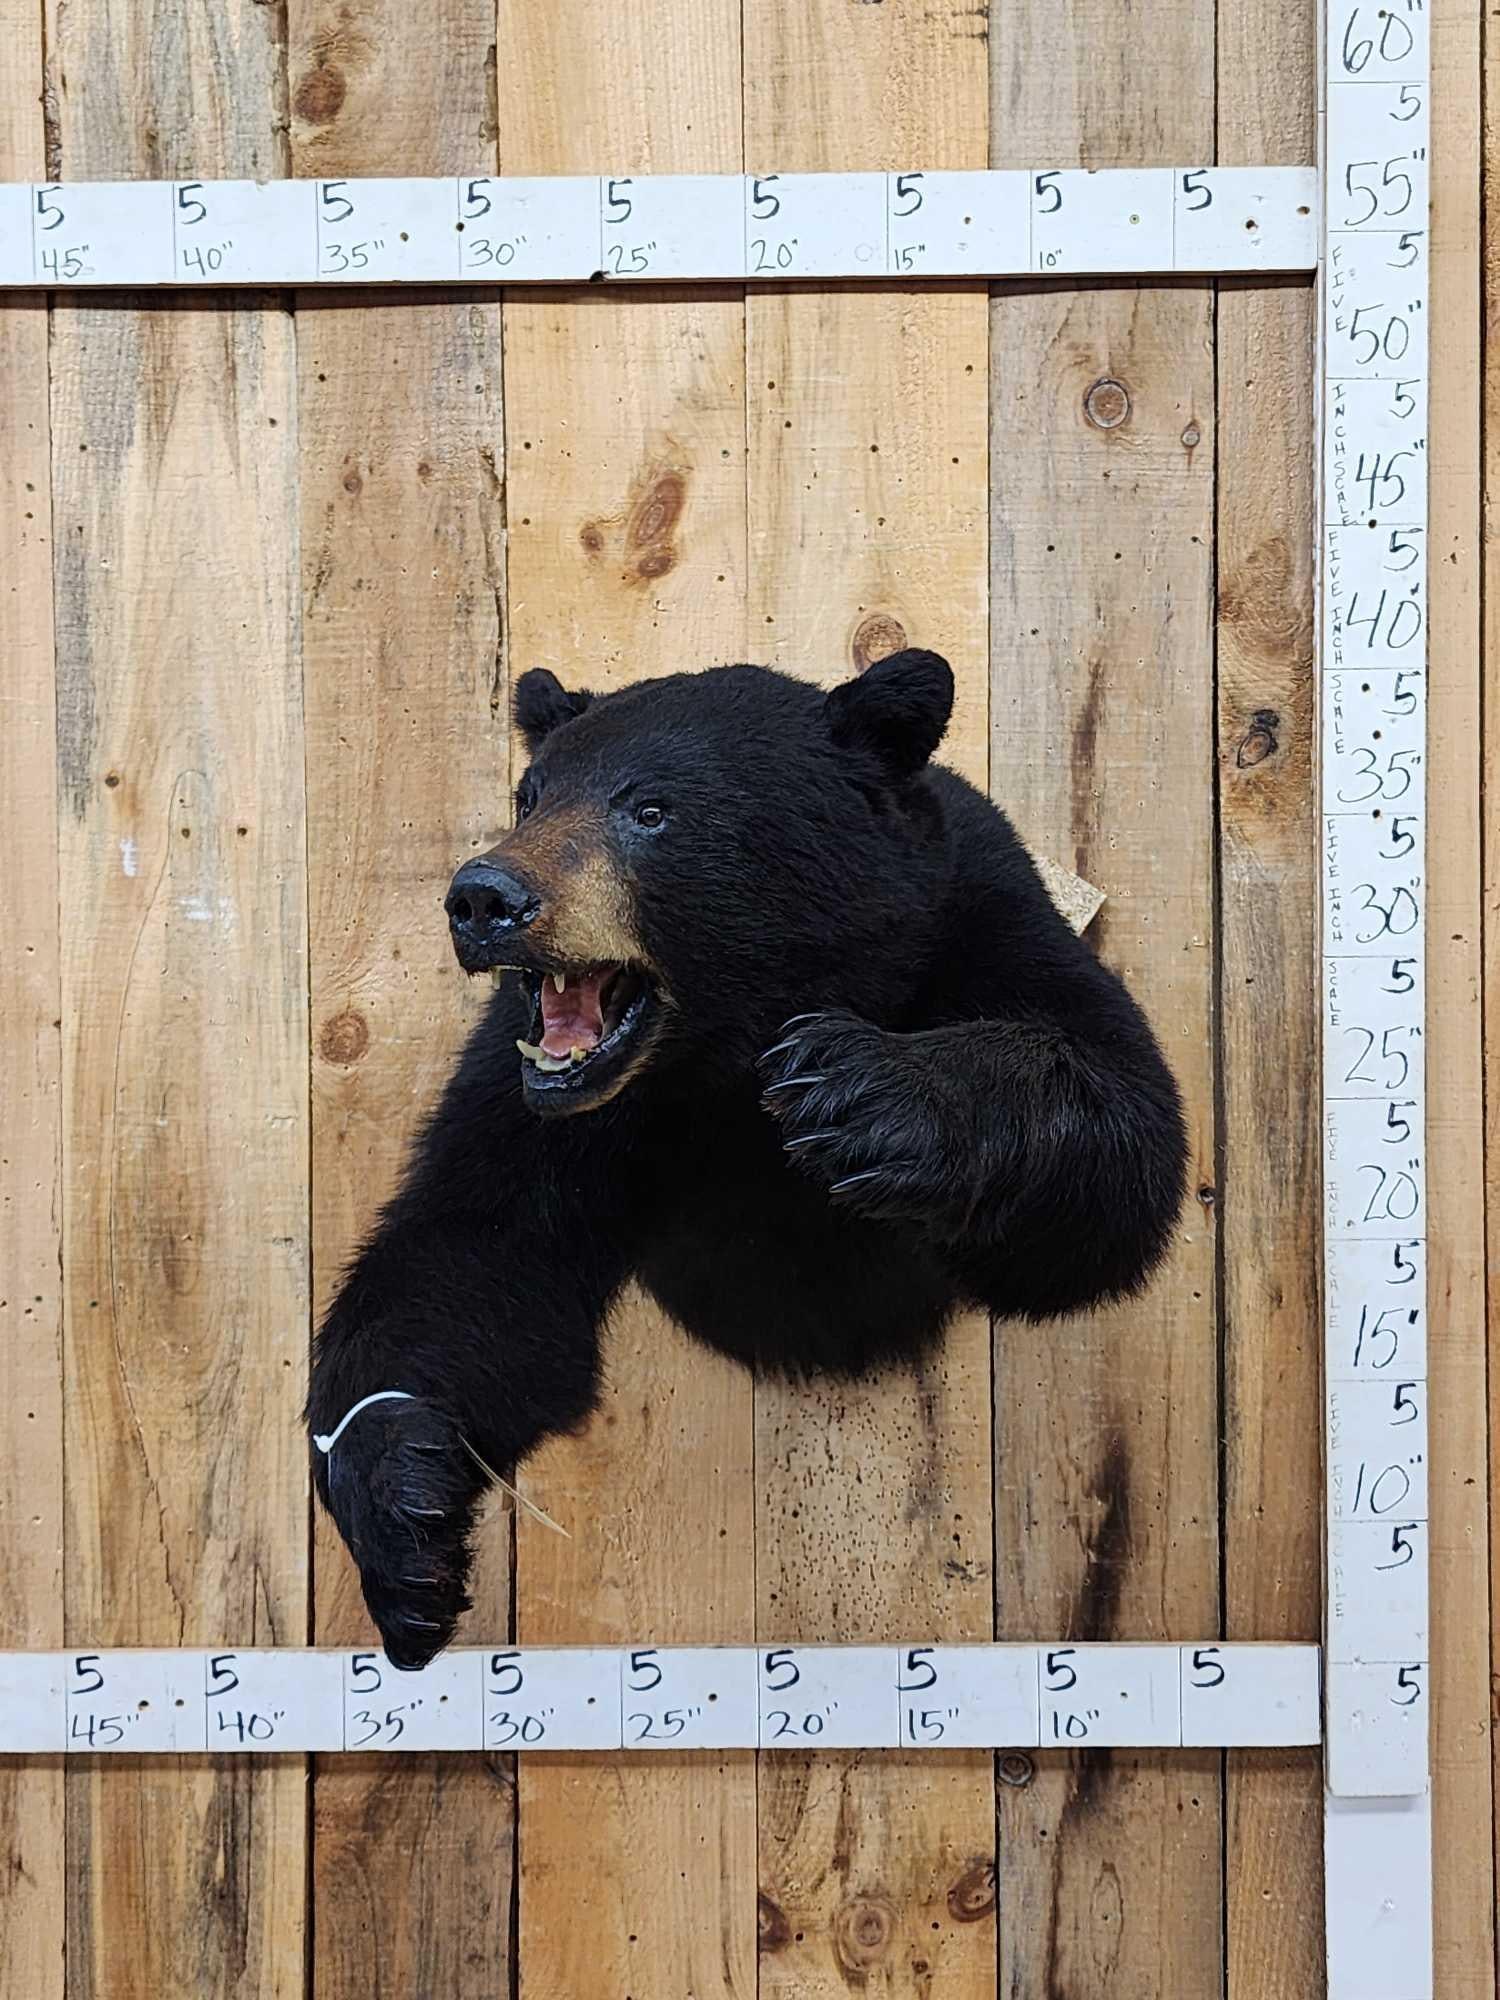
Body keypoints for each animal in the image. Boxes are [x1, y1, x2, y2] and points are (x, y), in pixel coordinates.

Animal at [307, 650, 1187, 1667]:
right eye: (530, 797)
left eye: (651, 809)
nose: (485, 899)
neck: (722, 1058)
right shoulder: (541, 1099)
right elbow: (473, 1250)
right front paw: (406, 1511)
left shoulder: (978, 919)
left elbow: (1121, 1121)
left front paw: (856, 1088)